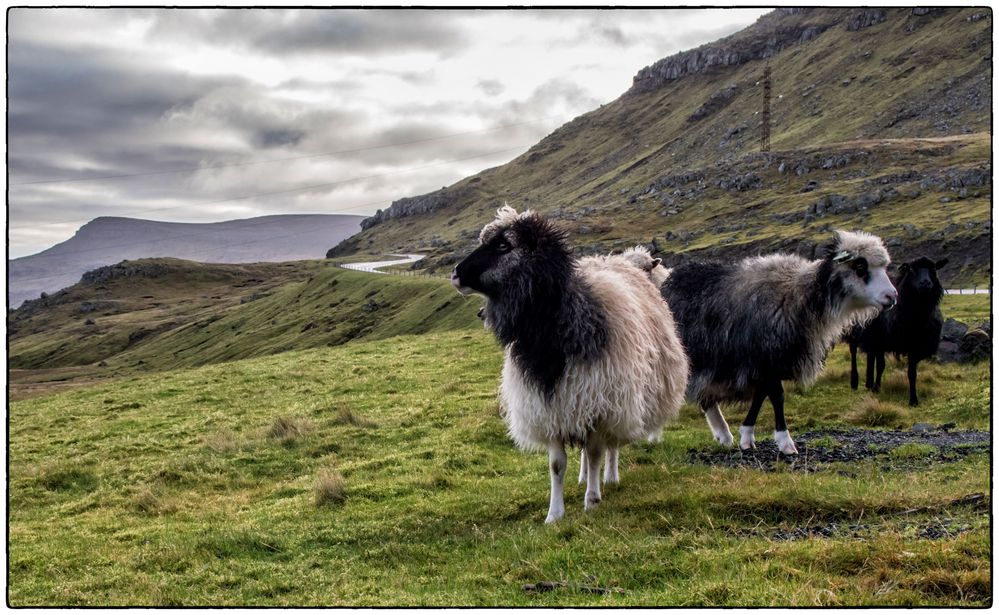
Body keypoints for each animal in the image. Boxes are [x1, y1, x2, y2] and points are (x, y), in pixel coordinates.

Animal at [452, 207, 688, 524]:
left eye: (504, 245)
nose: (455, 273)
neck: (550, 333)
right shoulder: (551, 406)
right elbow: (557, 464)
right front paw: (554, 513)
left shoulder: (600, 406)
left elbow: (597, 453)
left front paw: (592, 500)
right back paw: (584, 477)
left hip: (622, 398)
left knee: (611, 445)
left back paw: (608, 477)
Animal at [664, 230, 900, 452]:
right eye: (860, 267)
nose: (892, 296)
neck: (801, 294)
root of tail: (668, 279)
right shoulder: (765, 353)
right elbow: (777, 396)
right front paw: (785, 441)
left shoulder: (769, 361)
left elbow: (761, 395)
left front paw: (747, 436)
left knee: (707, 399)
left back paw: (723, 434)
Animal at [848, 256, 948, 406]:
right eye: (911, 269)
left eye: (934, 269)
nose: (926, 283)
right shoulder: (880, 340)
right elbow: (881, 365)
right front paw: (876, 387)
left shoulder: (914, 347)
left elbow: (911, 373)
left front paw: (913, 399)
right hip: (854, 331)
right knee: (854, 352)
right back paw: (855, 382)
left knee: (870, 357)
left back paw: (869, 383)